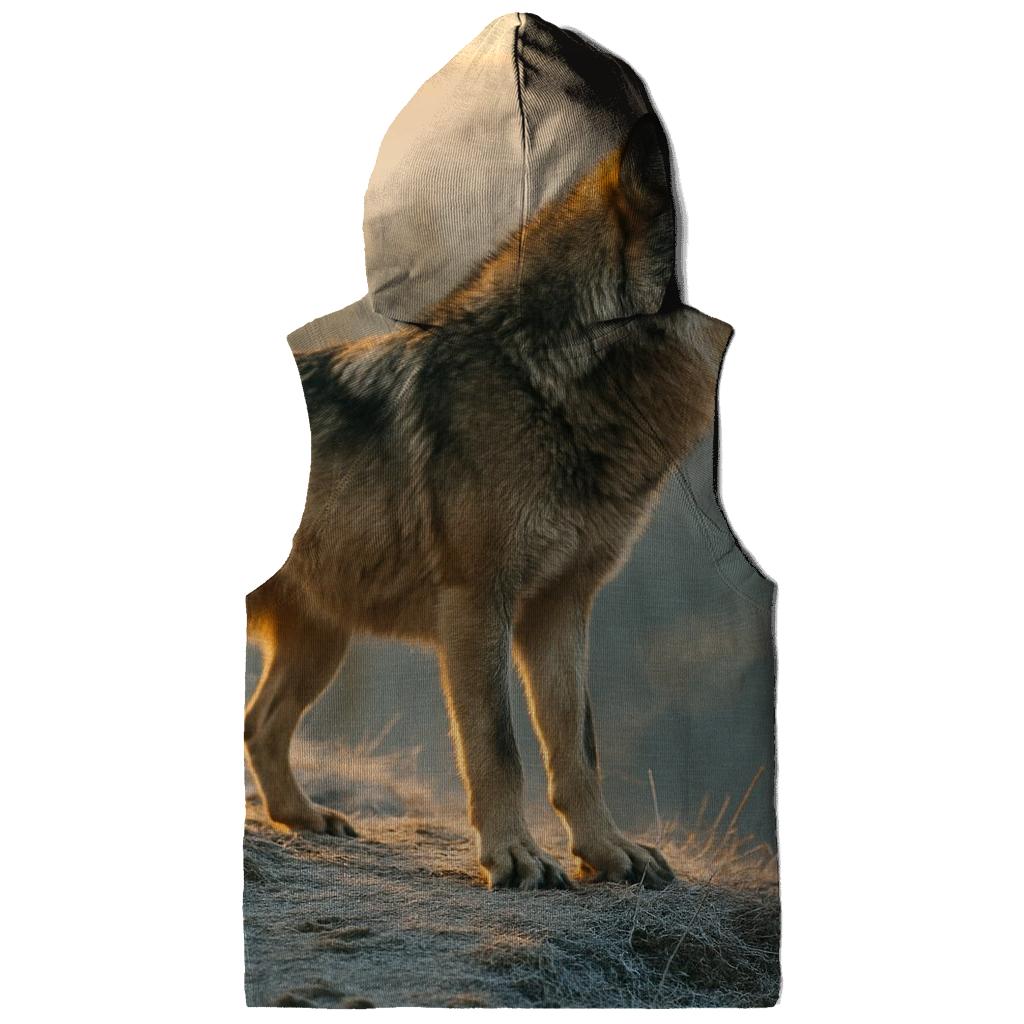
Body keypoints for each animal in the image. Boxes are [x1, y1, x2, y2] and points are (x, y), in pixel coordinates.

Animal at [245, 116, 733, 890]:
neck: (545, 380)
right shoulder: (478, 603)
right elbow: (498, 747)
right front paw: (514, 857)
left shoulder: (560, 608)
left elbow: (578, 750)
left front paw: (607, 852)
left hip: (324, 642)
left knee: (258, 725)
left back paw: (304, 817)